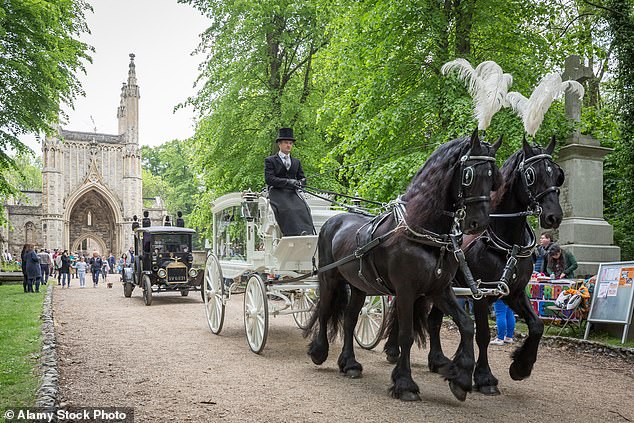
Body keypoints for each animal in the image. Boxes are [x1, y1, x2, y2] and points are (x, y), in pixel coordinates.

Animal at [304, 132, 502, 404]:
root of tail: (334, 219)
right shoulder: (406, 291)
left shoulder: (439, 289)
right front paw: (405, 384)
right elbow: (406, 335)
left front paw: (460, 378)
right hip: (330, 279)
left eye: (493, 176)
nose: (479, 223)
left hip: (359, 286)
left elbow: (466, 325)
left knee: (350, 319)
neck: (424, 233)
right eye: (469, 174)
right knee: (324, 311)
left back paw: (349, 364)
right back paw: (319, 350)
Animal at [382, 137, 560, 396]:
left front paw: (521, 366)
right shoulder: (480, 295)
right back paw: (393, 350)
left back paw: (438, 360)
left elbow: (537, 325)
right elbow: (483, 335)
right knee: (403, 311)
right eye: (530, 175)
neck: (505, 242)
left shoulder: (514, 293)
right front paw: (484, 378)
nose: (554, 216)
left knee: (433, 321)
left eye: (557, 174)